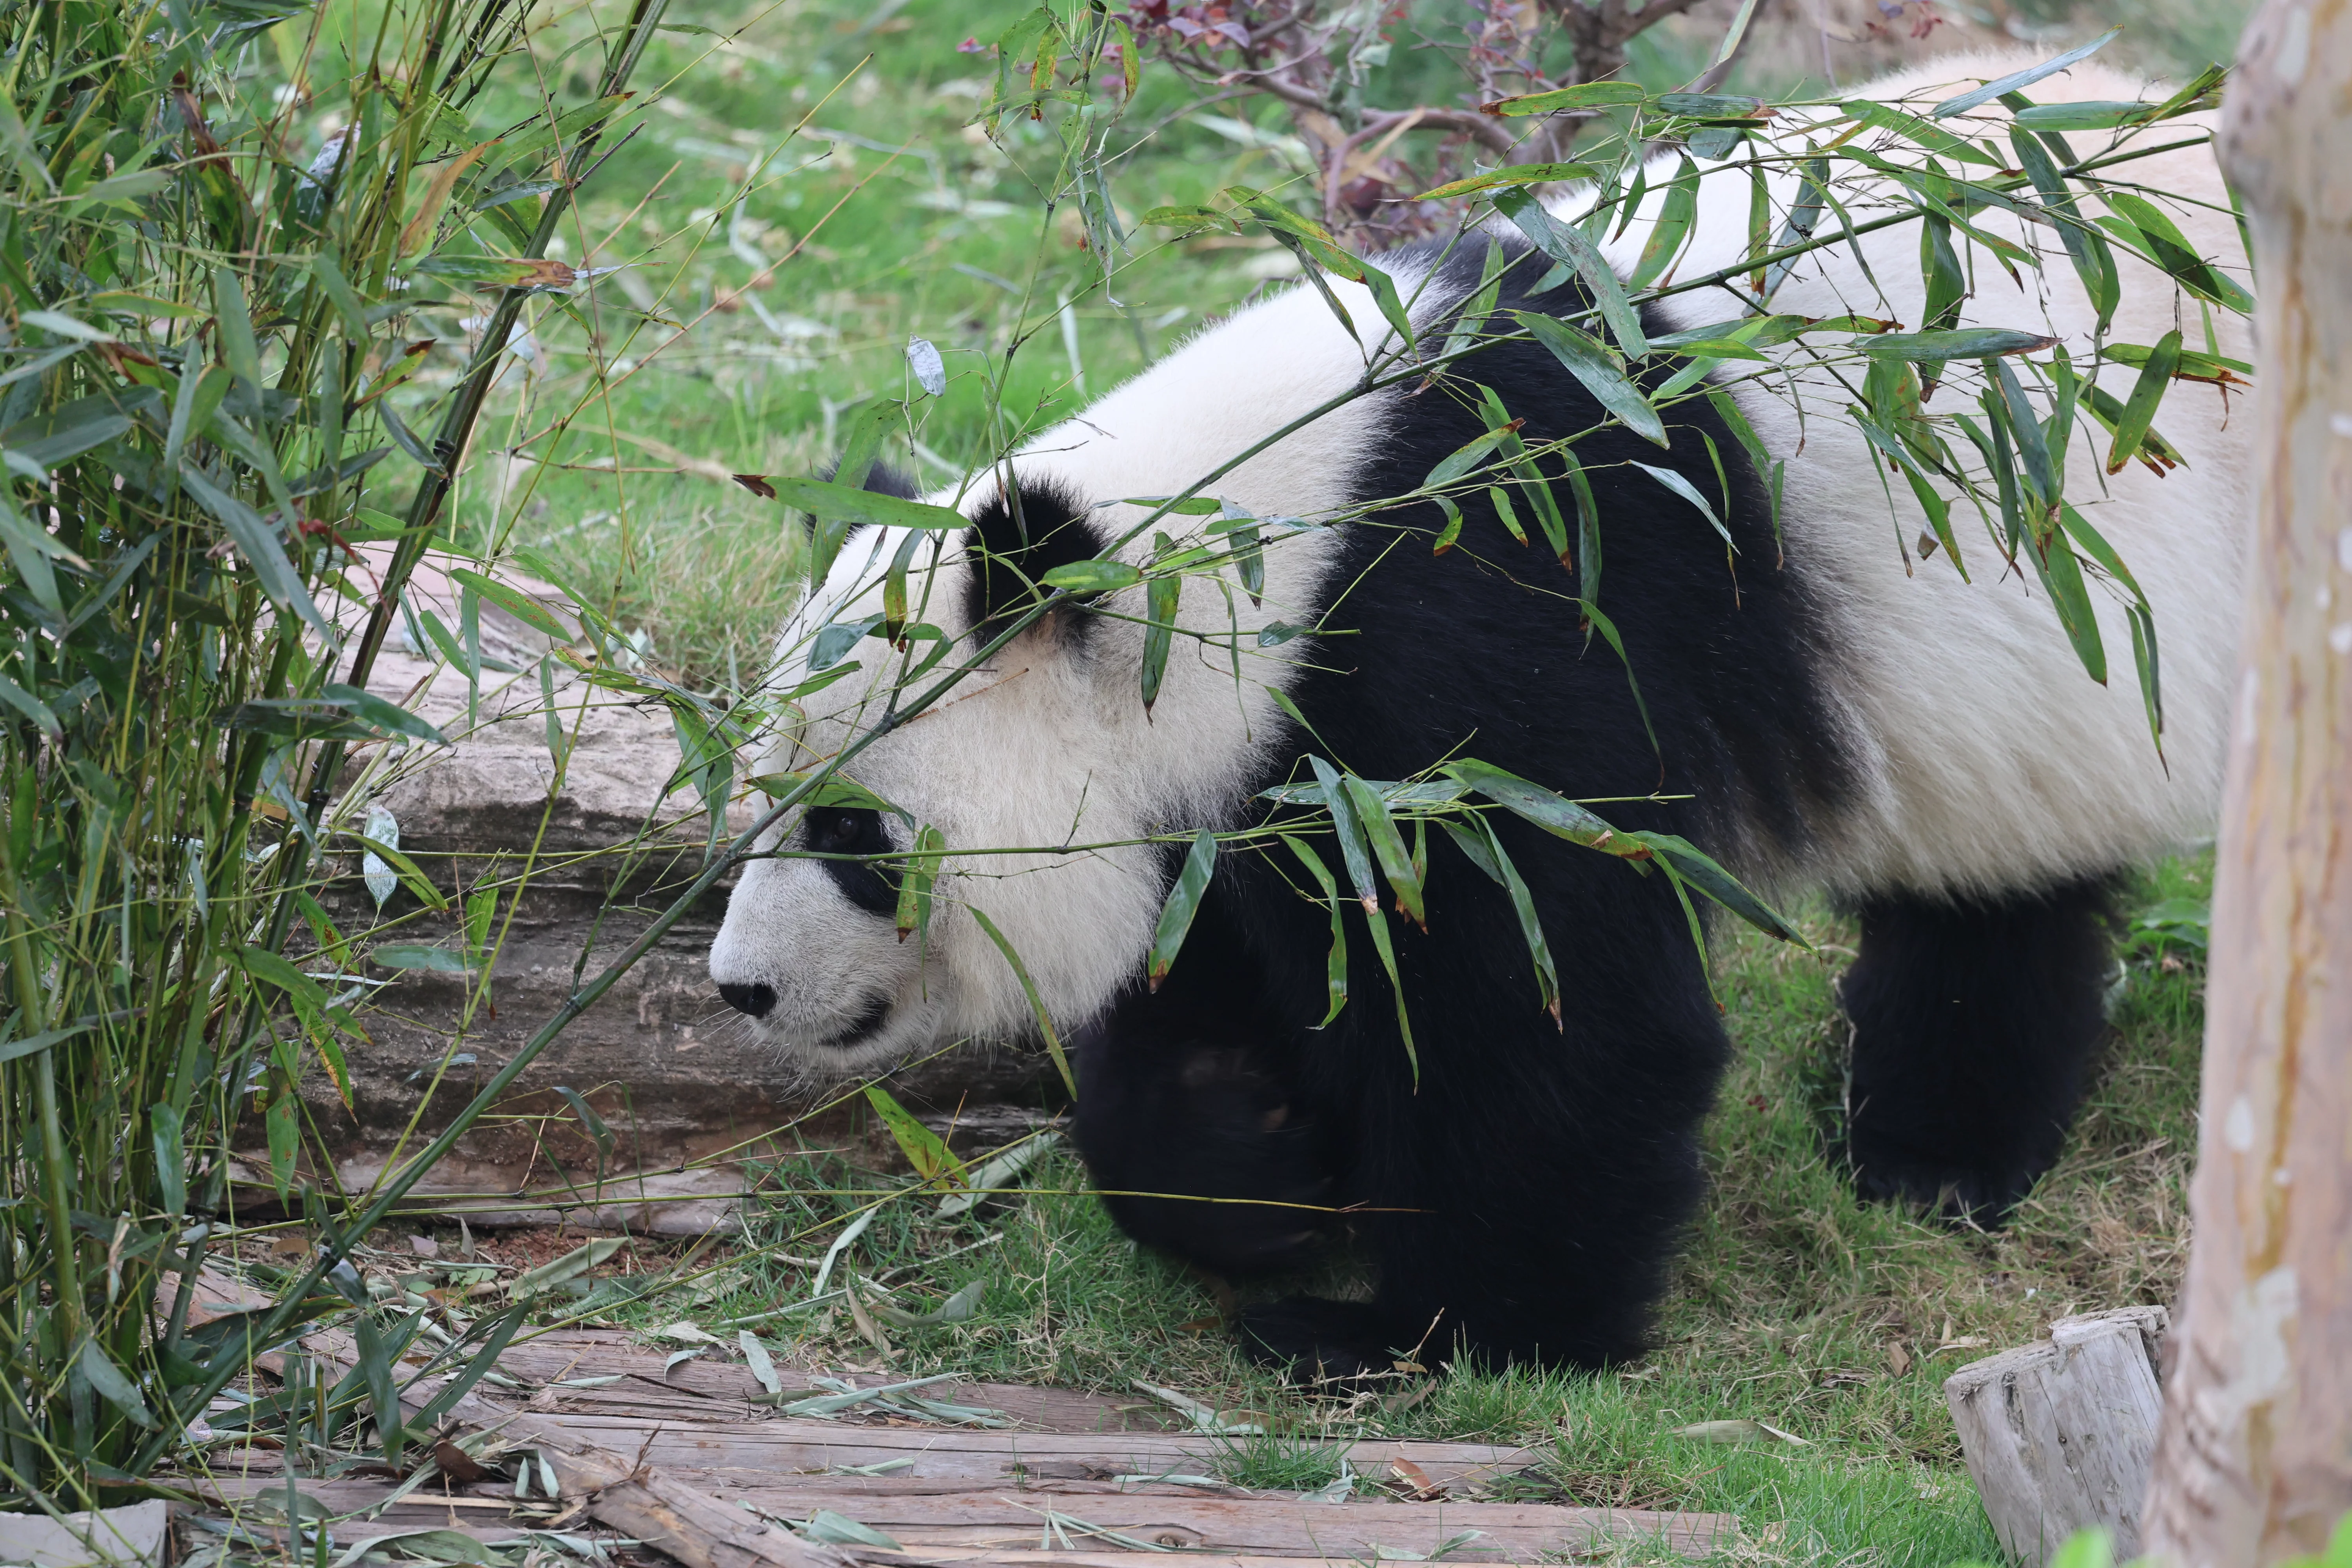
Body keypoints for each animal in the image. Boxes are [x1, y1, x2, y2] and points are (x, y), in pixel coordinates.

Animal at [709, 51, 2252, 1378]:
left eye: (853, 835)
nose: (744, 989)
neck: (1260, 543)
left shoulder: (1492, 621)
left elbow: (1558, 1010)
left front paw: (1438, 1332)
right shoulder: (1280, 781)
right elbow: (1240, 979)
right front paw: (1260, 1170)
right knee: (1998, 899)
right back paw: (1930, 1151)